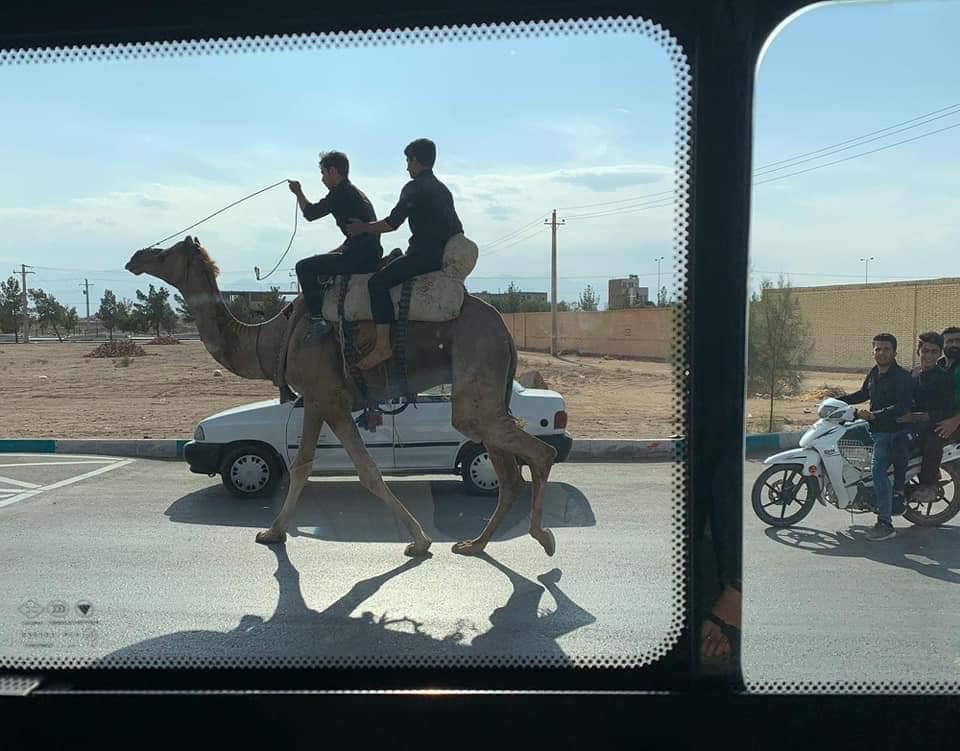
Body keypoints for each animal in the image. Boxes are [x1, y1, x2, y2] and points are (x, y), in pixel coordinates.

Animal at [124, 236, 560, 560]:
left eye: (163, 254)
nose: (134, 257)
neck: (272, 340)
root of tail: (503, 327)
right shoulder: (326, 401)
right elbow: (323, 465)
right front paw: (274, 532)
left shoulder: (323, 397)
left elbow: (340, 468)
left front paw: (418, 541)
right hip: (486, 393)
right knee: (508, 474)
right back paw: (475, 543)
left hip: (475, 372)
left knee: (538, 452)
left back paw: (543, 537)